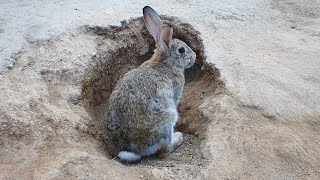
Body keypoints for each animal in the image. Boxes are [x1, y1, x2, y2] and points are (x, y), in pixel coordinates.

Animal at [105, 5, 196, 163]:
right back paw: (177, 138)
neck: (165, 63)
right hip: (168, 119)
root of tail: (135, 151)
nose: (195, 56)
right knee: (164, 152)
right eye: (182, 50)